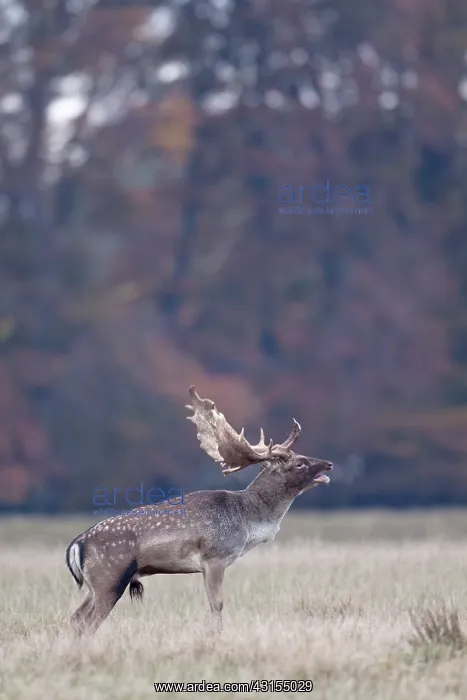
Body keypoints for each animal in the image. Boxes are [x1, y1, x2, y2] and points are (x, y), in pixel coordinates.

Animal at [66, 385, 333, 633]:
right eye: (300, 463)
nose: (329, 464)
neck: (247, 520)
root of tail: (77, 544)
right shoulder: (215, 556)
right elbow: (217, 604)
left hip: (95, 584)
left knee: (75, 617)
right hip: (109, 576)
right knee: (87, 622)